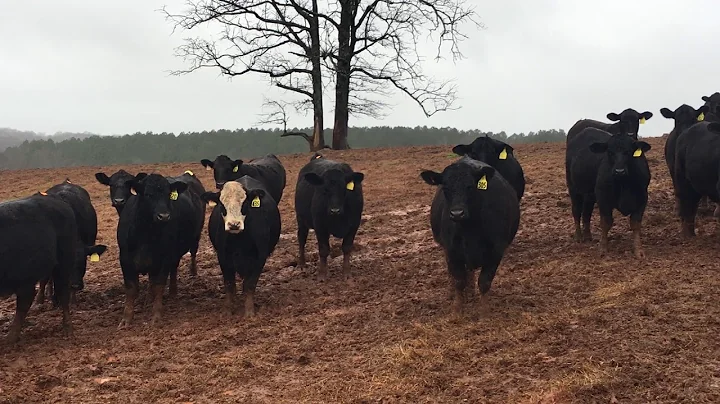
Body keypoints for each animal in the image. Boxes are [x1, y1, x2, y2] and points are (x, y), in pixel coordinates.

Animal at [116, 173, 205, 328]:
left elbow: (158, 285)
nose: (164, 216)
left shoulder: (164, 258)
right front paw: (126, 319)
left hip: (193, 240)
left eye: (168, 194)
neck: (146, 234)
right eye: (147, 194)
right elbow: (131, 289)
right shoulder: (125, 259)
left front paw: (156, 315)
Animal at [200, 176, 281, 317]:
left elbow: (250, 284)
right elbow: (229, 284)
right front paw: (227, 310)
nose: (234, 224)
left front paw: (249, 311)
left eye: (244, 203)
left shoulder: (260, 258)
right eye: (222, 204)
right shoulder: (223, 256)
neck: (239, 240)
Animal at [420, 157, 520, 314]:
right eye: (445, 188)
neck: (470, 230)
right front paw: (457, 308)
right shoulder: (452, 251)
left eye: (470, 187)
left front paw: (484, 310)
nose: (457, 213)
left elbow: (484, 282)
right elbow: (459, 281)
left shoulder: (496, 251)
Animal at [566, 127, 651, 258]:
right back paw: (579, 236)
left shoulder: (642, 198)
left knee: (586, 213)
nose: (619, 171)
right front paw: (603, 249)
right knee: (576, 212)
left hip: (589, 195)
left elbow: (635, 224)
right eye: (610, 152)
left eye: (628, 152)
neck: (624, 183)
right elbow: (606, 222)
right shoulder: (603, 198)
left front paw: (639, 251)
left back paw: (588, 236)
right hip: (574, 189)